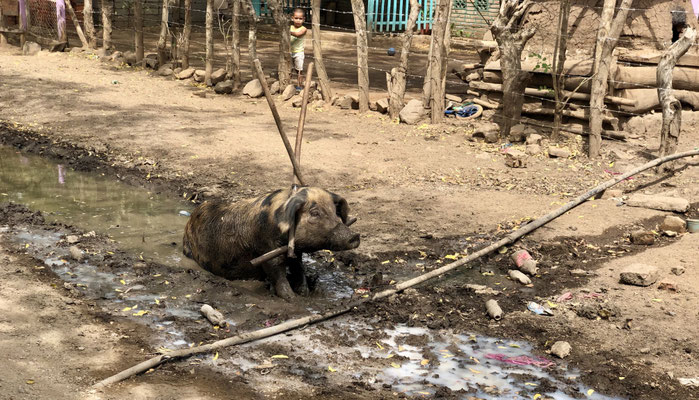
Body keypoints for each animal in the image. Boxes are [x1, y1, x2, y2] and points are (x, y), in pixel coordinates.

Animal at [183, 186, 360, 300]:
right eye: (314, 213)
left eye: (334, 211)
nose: (355, 236)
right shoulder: (265, 248)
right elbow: (277, 271)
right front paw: (292, 298)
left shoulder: (295, 251)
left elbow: (298, 267)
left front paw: (304, 293)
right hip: (187, 248)